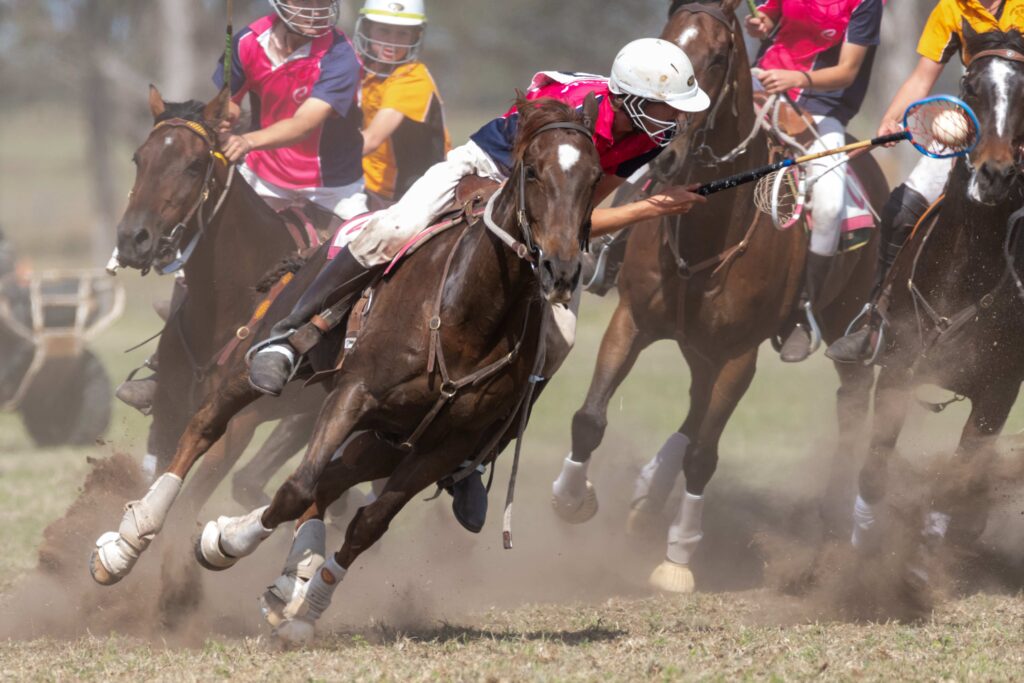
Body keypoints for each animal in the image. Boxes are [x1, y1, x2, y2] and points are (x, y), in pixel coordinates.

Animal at [552, 0, 888, 593]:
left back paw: (834, 523)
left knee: (848, 404)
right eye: (666, 37)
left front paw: (677, 559)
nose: (666, 154)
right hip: (696, 344)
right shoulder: (632, 321)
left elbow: (705, 457)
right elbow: (590, 417)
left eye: (714, 55)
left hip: (840, 325)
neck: (709, 220)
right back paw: (647, 493)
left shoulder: (740, 354)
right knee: (694, 407)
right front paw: (572, 499)